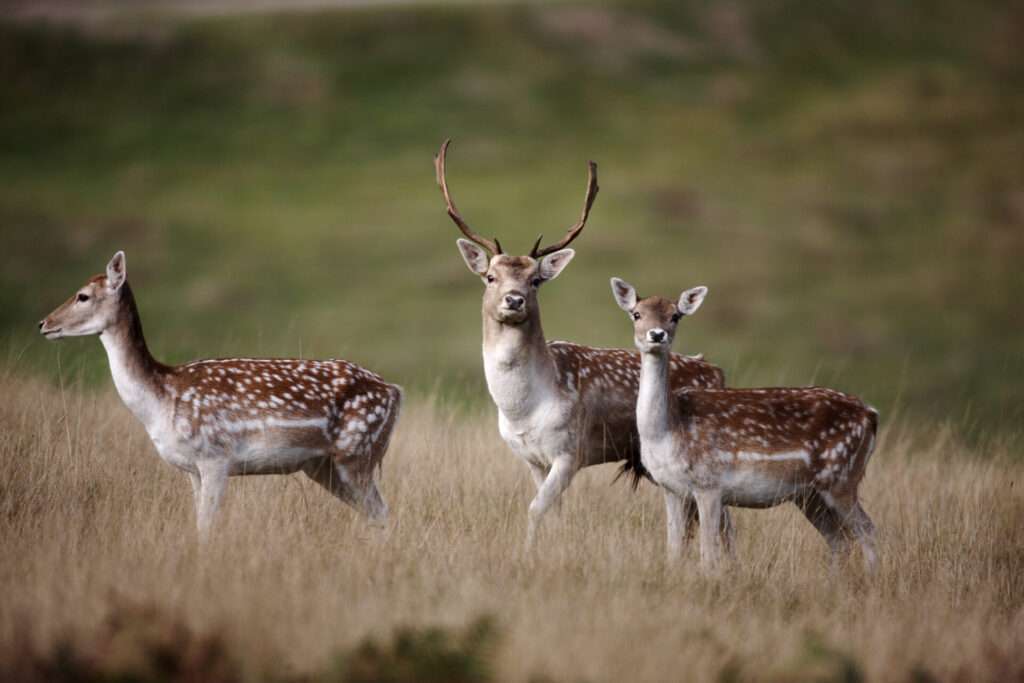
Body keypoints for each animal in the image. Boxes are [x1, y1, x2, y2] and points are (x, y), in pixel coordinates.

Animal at [38, 251, 402, 541]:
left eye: (83, 296)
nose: (43, 323)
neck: (161, 398)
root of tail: (395, 392)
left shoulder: (215, 455)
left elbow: (206, 526)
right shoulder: (191, 468)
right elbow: (198, 523)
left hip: (357, 451)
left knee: (382, 511)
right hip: (323, 466)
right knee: (376, 514)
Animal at [436, 139, 733, 551]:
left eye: (535, 280)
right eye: (491, 276)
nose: (514, 299)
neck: (522, 409)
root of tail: (718, 371)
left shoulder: (570, 450)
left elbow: (535, 509)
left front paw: (528, 552)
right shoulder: (532, 458)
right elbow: (552, 512)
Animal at [610, 277, 879, 571]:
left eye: (675, 316)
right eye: (636, 314)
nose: (657, 335)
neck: (667, 432)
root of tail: (871, 415)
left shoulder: (709, 483)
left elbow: (708, 553)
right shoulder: (671, 488)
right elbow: (674, 549)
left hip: (841, 476)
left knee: (869, 532)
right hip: (809, 493)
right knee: (839, 540)